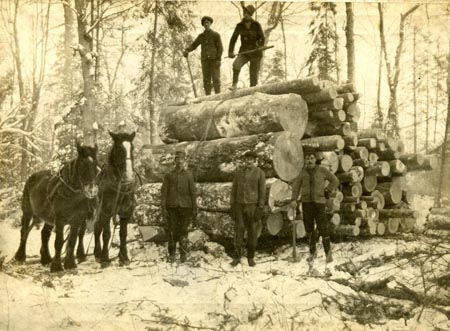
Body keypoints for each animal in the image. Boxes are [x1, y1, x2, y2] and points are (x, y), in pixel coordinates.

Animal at [14, 143, 98, 272]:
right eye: (83, 165)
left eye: (97, 167)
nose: (92, 191)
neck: (71, 194)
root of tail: (33, 176)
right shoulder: (60, 220)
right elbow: (58, 242)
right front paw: (57, 266)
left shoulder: (77, 220)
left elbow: (72, 240)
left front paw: (70, 264)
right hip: (28, 212)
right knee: (24, 231)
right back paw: (20, 256)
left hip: (48, 217)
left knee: (45, 234)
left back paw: (46, 259)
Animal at [78, 131, 137, 268]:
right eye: (119, 149)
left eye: (131, 148)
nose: (129, 176)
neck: (119, 185)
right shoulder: (106, 211)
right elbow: (107, 234)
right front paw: (105, 258)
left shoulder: (125, 212)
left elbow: (123, 234)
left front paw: (124, 257)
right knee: (83, 230)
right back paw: (82, 254)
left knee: (96, 228)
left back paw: (97, 253)